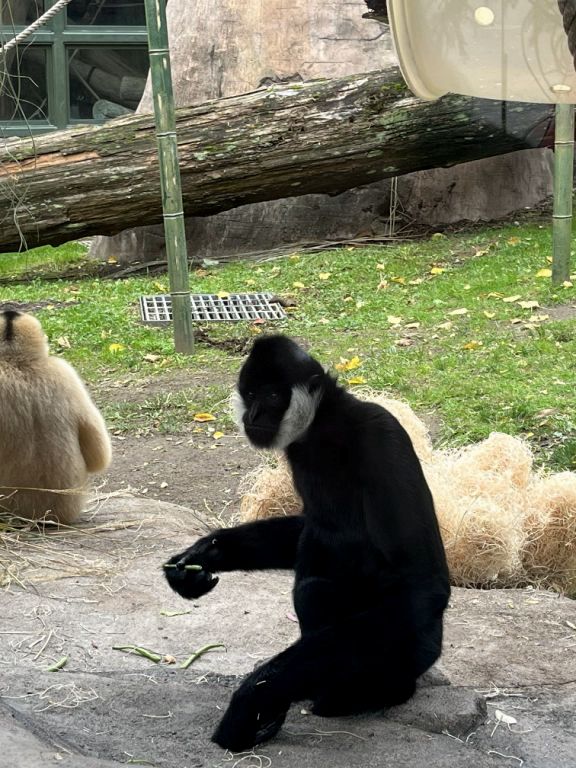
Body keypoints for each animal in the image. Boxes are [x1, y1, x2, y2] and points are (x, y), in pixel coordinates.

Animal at [164, 334, 450, 752]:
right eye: (251, 393)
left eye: (271, 395)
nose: (252, 414)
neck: (325, 427)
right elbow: (304, 527)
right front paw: (206, 554)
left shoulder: (379, 435)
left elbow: (423, 584)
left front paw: (254, 697)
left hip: (415, 647)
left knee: (316, 587)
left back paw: (367, 694)